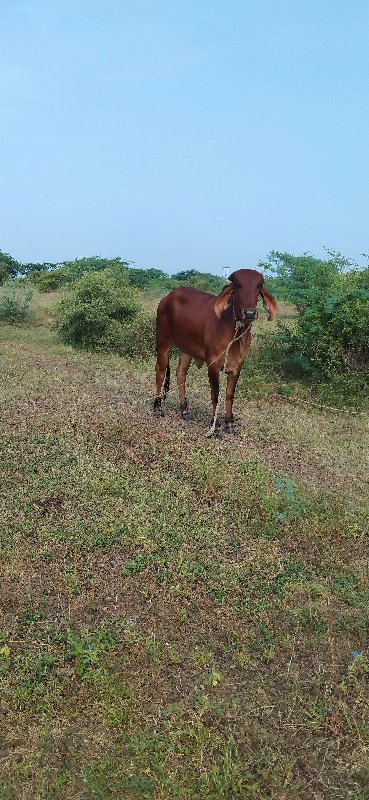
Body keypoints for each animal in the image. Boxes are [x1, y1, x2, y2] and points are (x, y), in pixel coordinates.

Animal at [152, 268, 276, 434]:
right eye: (237, 284)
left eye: (260, 285)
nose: (249, 313)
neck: (234, 330)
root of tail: (168, 297)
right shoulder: (213, 362)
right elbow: (215, 394)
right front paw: (215, 427)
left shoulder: (238, 364)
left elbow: (230, 394)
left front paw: (230, 423)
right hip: (163, 342)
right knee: (160, 371)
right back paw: (158, 408)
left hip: (186, 349)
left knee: (181, 373)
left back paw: (184, 411)